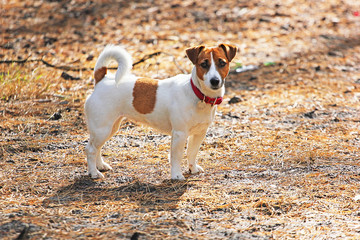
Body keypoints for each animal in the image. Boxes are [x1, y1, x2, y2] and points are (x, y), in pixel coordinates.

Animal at [84, 43, 236, 180]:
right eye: (204, 64)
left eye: (222, 63)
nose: (215, 81)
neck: (197, 93)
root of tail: (101, 79)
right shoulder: (179, 134)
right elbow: (176, 157)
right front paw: (176, 175)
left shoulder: (199, 133)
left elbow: (192, 153)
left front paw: (193, 169)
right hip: (102, 129)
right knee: (90, 149)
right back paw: (94, 173)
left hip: (110, 128)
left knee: (96, 147)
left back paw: (100, 166)